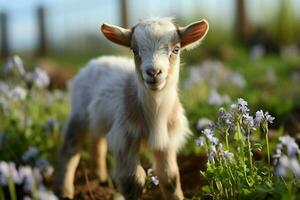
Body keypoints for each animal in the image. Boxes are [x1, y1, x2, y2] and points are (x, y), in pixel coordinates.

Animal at [56, 17, 210, 200]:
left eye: (176, 49)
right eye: (134, 50)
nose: (153, 72)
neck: (155, 112)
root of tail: (95, 61)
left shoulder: (168, 141)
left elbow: (170, 177)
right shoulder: (125, 137)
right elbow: (134, 180)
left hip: (99, 118)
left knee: (97, 144)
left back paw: (101, 179)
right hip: (78, 113)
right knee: (70, 150)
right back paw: (65, 191)